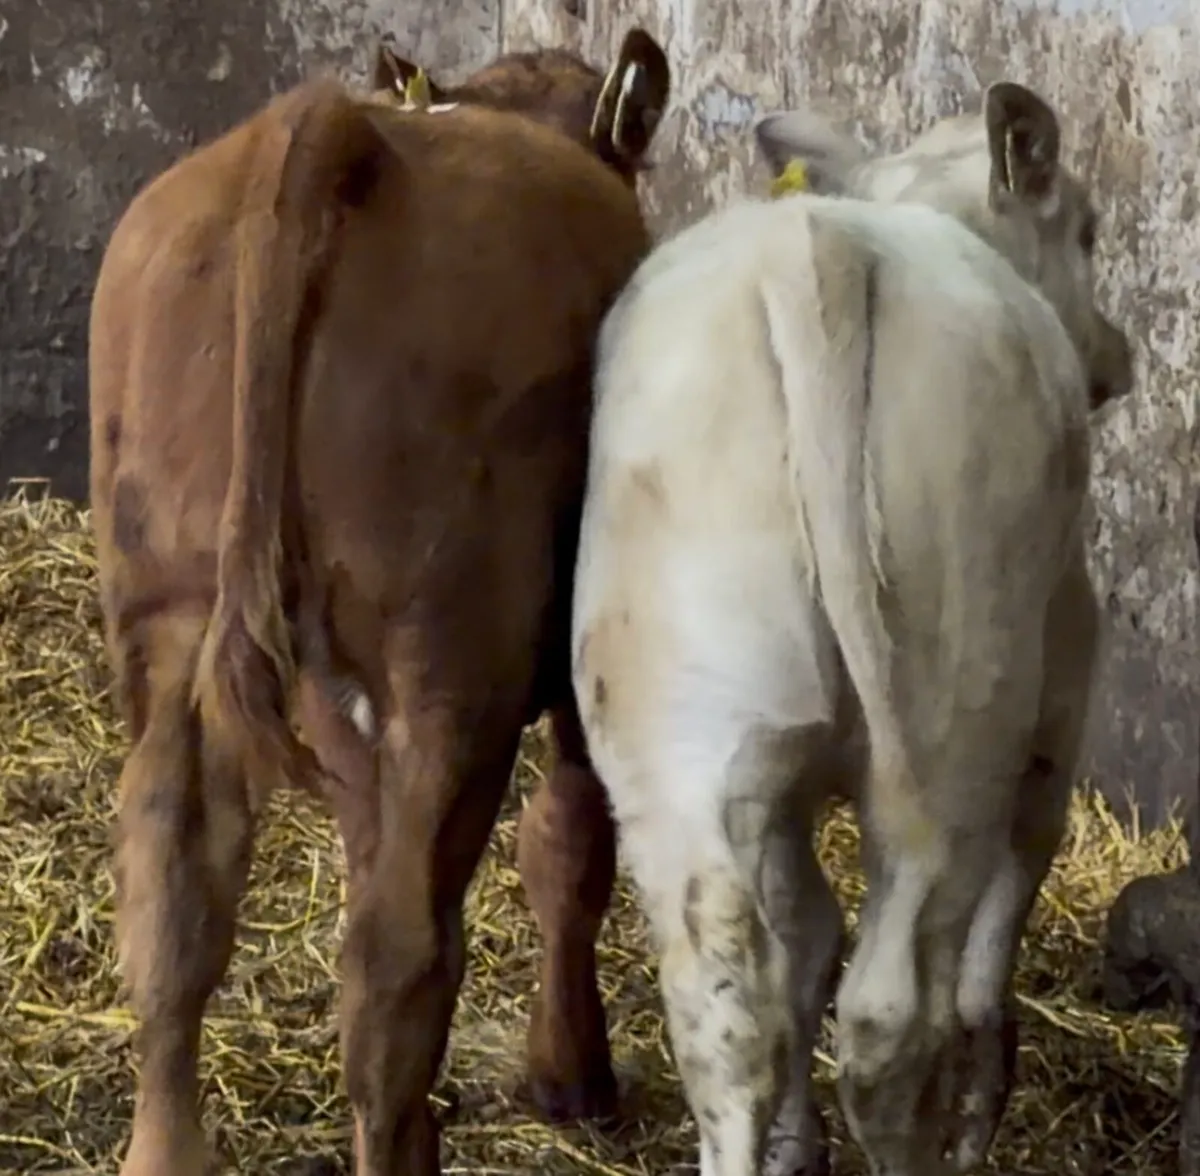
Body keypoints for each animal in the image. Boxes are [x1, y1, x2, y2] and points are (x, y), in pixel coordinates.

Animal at [88, 29, 670, 1176]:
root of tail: (340, 132)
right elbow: (572, 843)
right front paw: (571, 1075)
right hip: (448, 667)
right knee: (397, 969)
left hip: (165, 623)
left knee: (173, 911)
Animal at [568, 83, 1134, 1176]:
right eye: (1087, 230)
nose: (1118, 357)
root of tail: (818, 248)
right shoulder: (1067, 680)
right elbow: (1013, 886)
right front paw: (980, 1103)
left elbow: (799, 942)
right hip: (955, 726)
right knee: (889, 1013)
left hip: (678, 732)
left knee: (723, 1006)